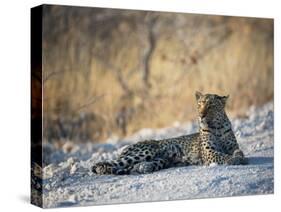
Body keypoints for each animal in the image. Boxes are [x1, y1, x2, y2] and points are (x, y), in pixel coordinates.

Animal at [91, 91, 246, 176]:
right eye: (200, 104)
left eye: (211, 105)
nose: (201, 115)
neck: (217, 127)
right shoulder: (209, 152)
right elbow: (222, 155)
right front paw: (233, 160)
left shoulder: (233, 146)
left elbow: (238, 151)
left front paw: (239, 157)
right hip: (146, 151)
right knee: (105, 164)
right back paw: (104, 169)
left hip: (161, 160)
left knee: (132, 166)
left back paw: (143, 167)